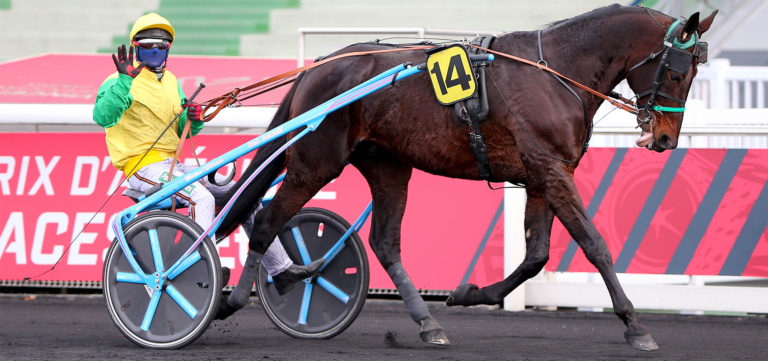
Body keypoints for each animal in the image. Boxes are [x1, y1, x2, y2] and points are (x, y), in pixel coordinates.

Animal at [214, 4, 712, 350]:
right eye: (677, 72)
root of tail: (319, 66)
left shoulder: (541, 176)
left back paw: (428, 323)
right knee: (267, 221)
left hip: (387, 164)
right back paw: (232, 300)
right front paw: (636, 325)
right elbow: (595, 246)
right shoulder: (551, 170)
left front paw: (468, 293)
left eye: (692, 74)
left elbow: (535, 256)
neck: (557, 72)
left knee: (385, 243)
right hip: (316, 161)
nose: (666, 138)